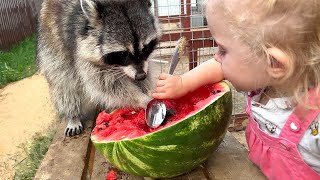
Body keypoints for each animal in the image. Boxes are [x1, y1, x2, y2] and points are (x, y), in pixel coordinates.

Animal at [37, 0, 161, 136]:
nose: (140, 76)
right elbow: (105, 84)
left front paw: (147, 88)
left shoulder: (143, 63)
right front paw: (141, 98)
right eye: (123, 53)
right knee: (64, 83)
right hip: (53, 45)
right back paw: (73, 116)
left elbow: (145, 71)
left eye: (145, 48)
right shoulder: (82, 50)